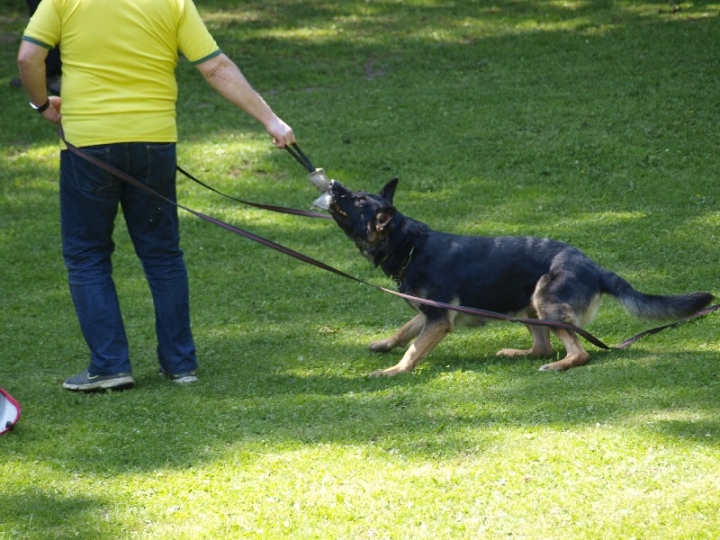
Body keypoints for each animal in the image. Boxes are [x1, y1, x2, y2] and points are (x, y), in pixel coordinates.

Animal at [320, 177, 716, 376]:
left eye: (357, 201)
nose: (334, 185)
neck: (409, 244)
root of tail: (593, 266)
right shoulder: (430, 314)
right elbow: (405, 330)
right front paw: (385, 345)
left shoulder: (438, 319)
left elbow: (414, 349)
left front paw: (394, 371)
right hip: (529, 306)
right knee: (542, 346)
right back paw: (516, 353)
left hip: (545, 301)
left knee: (578, 352)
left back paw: (558, 365)